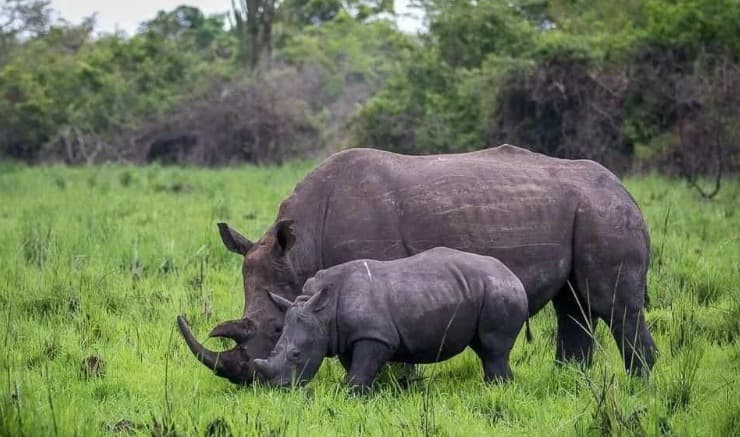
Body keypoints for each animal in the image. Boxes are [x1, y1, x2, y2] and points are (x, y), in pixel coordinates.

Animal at [252, 247, 529, 391]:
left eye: (296, 354)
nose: (279, 388)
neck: (323, 312)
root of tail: (513, 275)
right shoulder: (347, 336)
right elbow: (355, 367)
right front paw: (362, 392)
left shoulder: (375, 336)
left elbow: (361, 369)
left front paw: (352, 395)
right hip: (487, 289)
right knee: (485, 348)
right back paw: (499, 388)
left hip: (499, 290)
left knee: (493, 348)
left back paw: (494, 389)